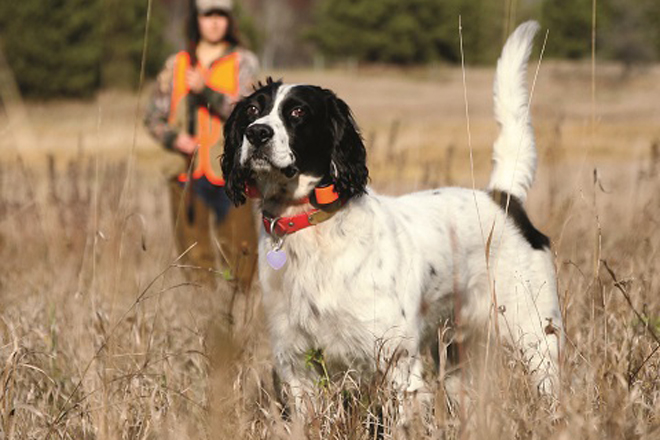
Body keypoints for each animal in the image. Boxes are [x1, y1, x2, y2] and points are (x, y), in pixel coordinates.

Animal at [222, 21, 564, 410]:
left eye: (298, 113)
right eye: (252, 110)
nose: (257, 133)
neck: (311, 227)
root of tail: (502, 198)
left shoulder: (396, 359)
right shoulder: (296, 363)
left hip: (535, 333)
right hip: (455, 351)